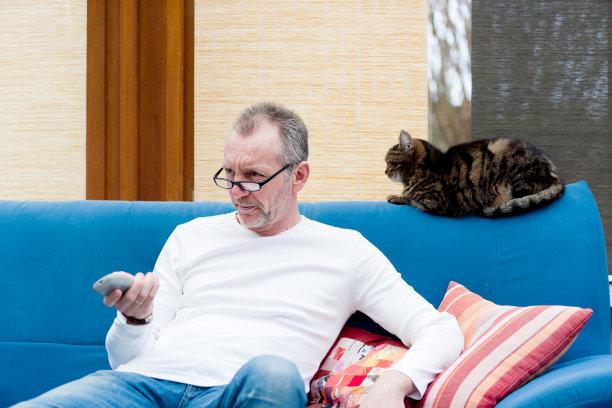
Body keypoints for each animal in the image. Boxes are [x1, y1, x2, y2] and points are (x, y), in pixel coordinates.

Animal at [385, 130, 564, 217]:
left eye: (389, 162)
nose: (385, 171)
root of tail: (555, 176)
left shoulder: (436, 201)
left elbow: (411, 198)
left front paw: (395, 197)